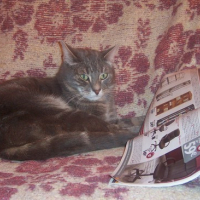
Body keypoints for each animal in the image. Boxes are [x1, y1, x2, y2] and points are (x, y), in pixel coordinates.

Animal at [0, 41, 144, 161]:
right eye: (84, 76)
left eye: (104, 75)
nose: (97, 90)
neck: (105, 102)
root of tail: (4, 147)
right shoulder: (100, 118)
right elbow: (115, 125)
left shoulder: (112, 117)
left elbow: (129, 119)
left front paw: (142, 119)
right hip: (50, 108)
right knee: (108, 128)